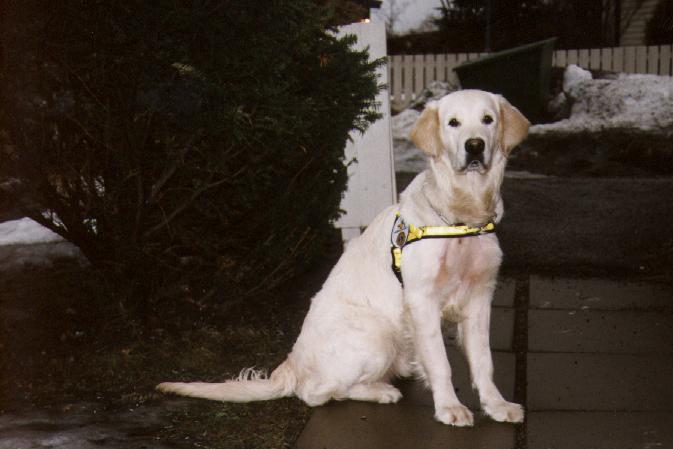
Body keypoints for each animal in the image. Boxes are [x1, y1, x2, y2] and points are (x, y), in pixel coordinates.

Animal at [159, 89, 532, 426]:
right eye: (453, 123)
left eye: (488, 120)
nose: (474, 146)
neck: (460, 220)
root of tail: (292, 361)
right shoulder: (422, 301)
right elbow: (441, 362)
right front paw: (450, 408)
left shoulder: (480, 298)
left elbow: (484, 361)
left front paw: (497, 405)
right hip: (378, 335)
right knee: (316, 393)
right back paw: (380, 391)